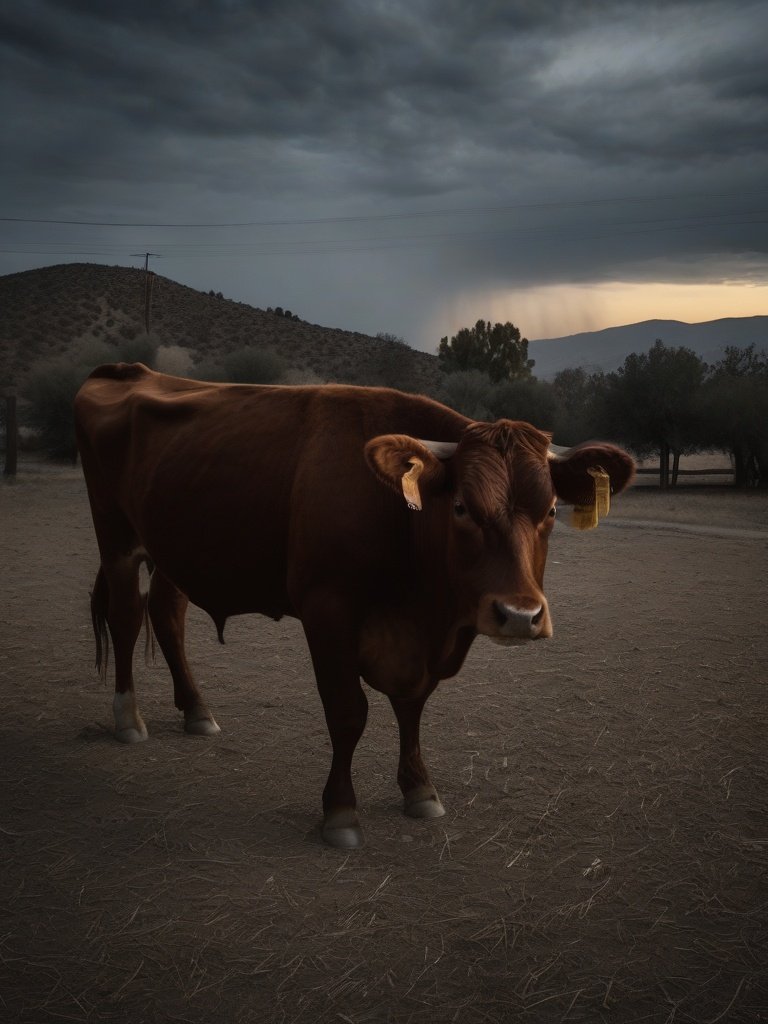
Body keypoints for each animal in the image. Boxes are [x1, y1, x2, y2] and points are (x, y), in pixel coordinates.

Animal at [74, 363, 634, 848]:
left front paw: (419, 789)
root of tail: (128, 370)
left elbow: (412, 707)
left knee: (167, 615)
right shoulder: (328, 611)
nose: (520, 616)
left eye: (551, 511)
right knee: (125, 617)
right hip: (116, 536)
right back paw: (128, 719)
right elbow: (348, 713)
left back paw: (196, 710)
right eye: (461, 507)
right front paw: (340, 812)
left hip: (175, 551)